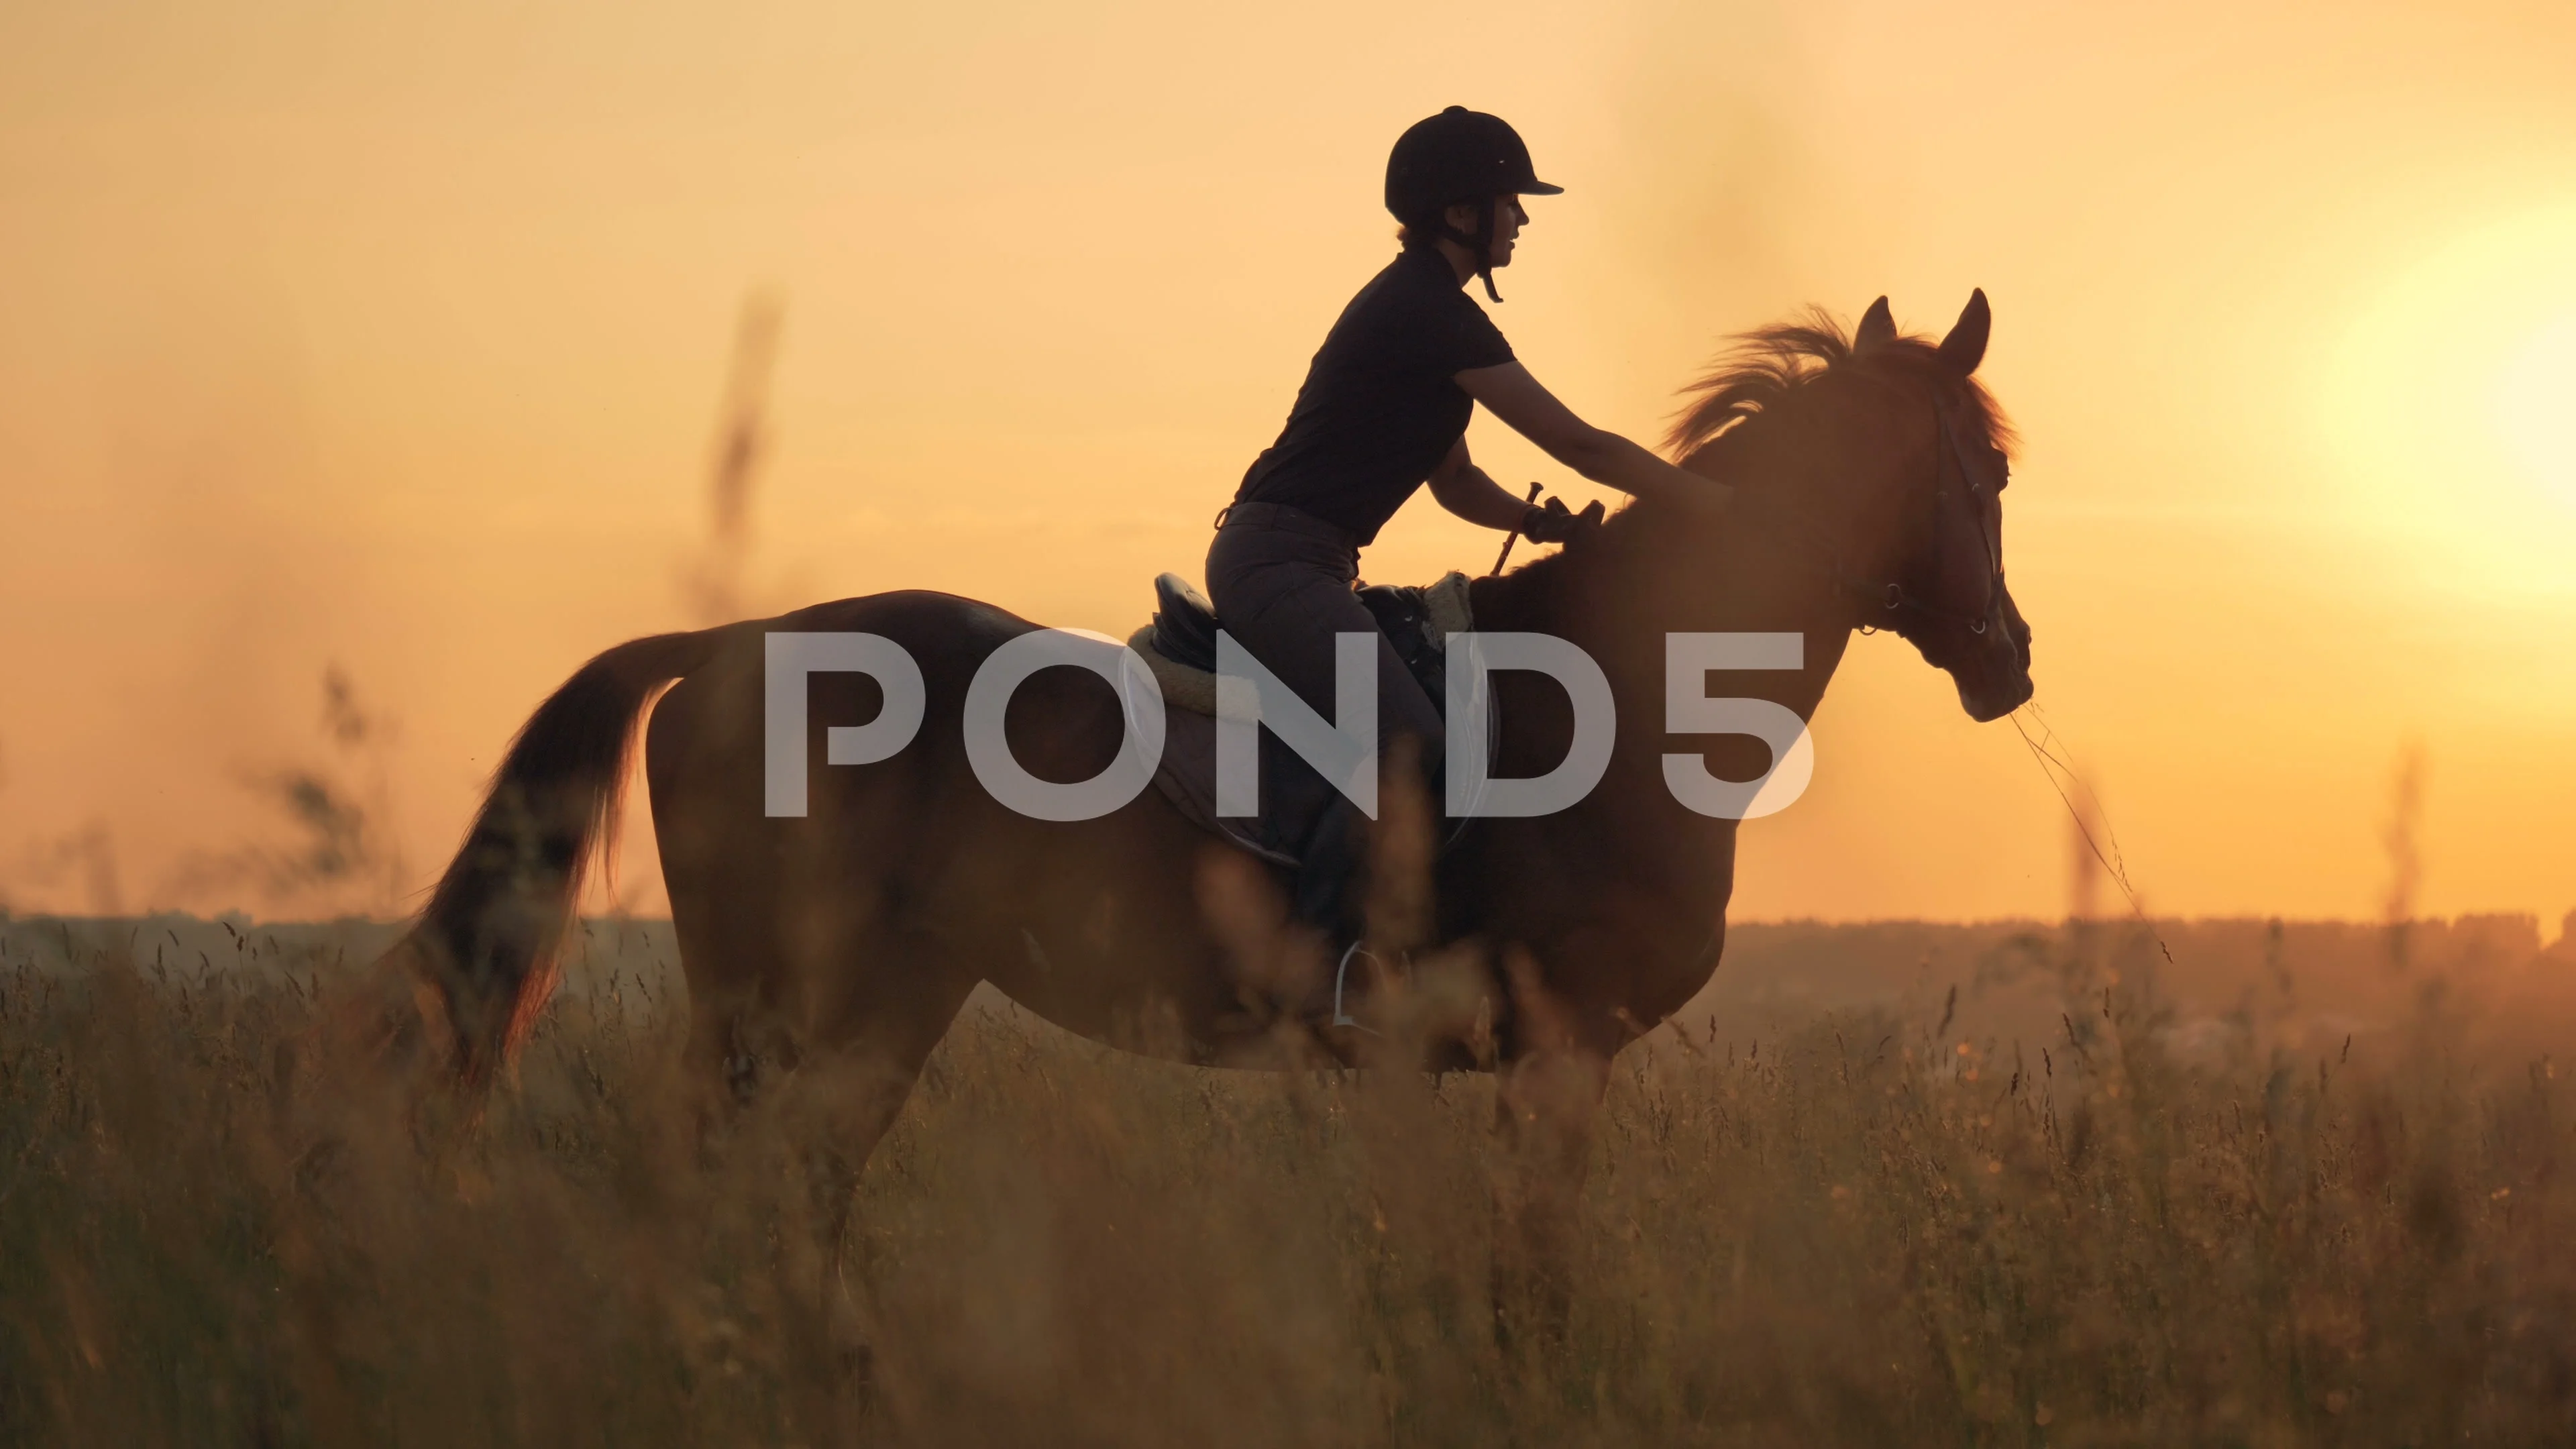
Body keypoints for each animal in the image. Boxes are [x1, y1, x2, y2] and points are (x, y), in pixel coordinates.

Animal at [381, 287, 2029, 1315]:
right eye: (1990, 475)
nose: (2008, 661)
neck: (1623, 689)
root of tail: (727, 644)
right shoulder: (1558, 1055)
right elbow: (1524, 1285)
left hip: (885, 1000)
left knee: (804, 1188)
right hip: (765, 999)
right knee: (698, 1173)